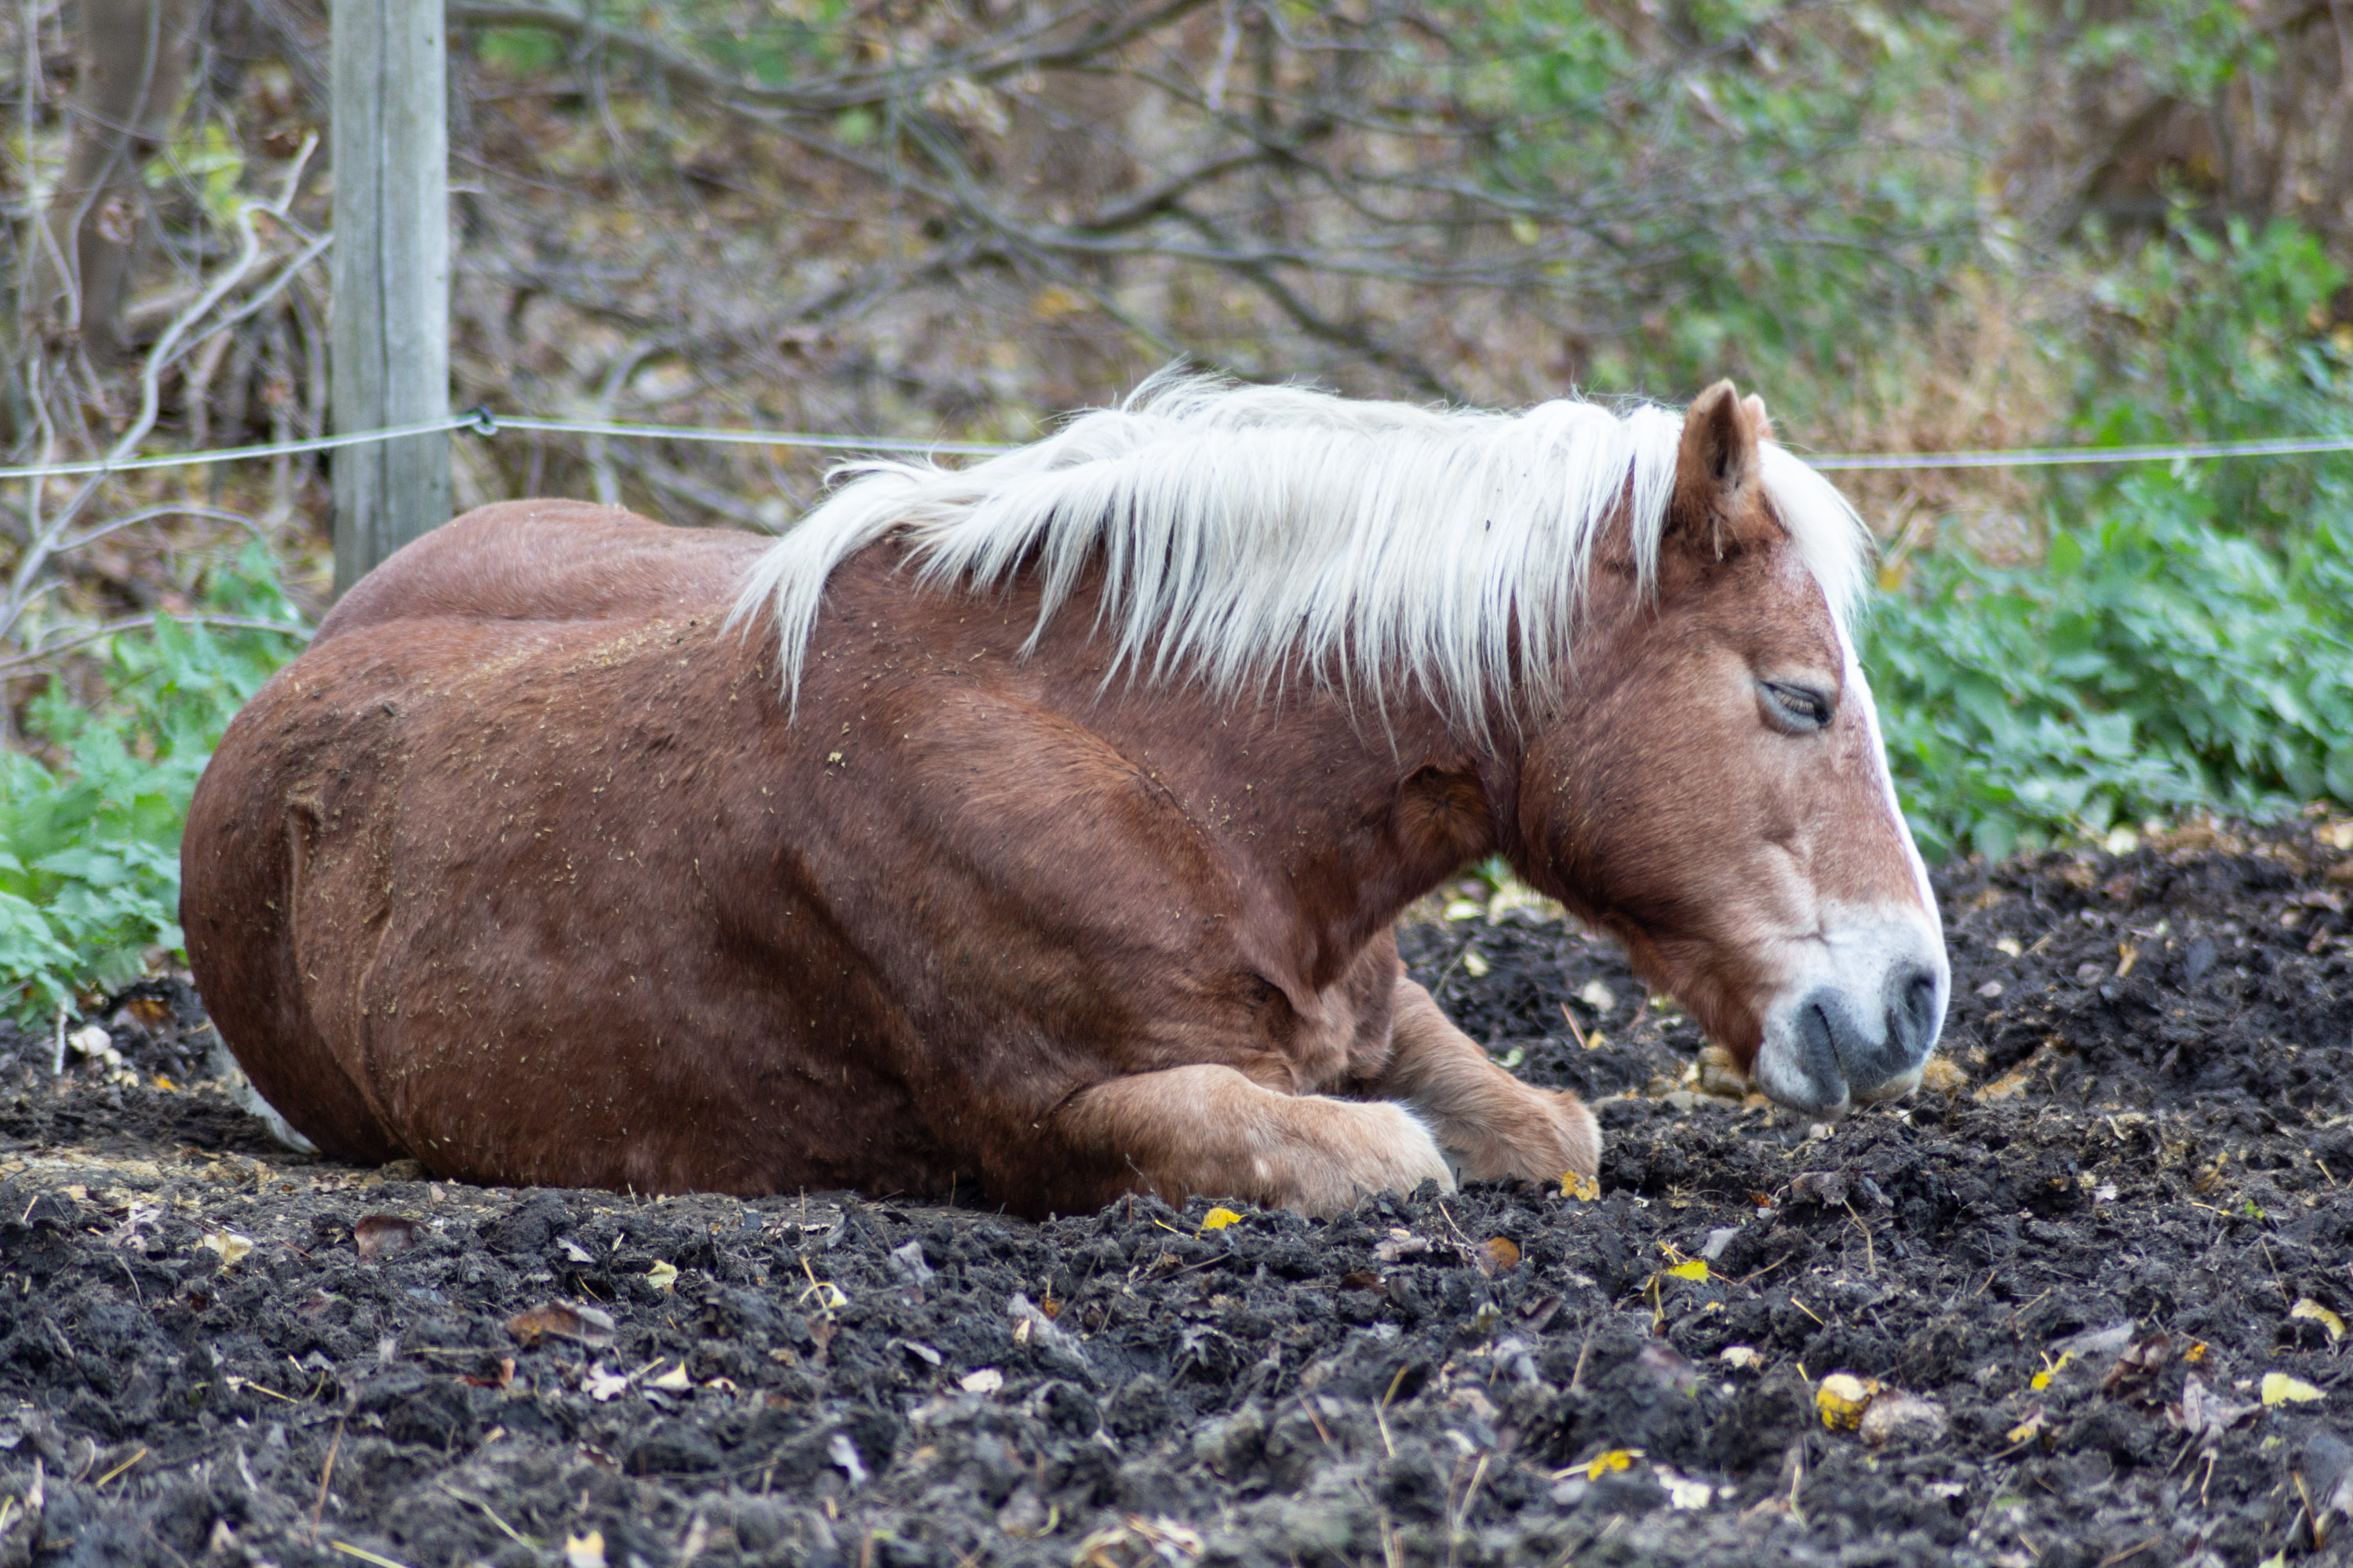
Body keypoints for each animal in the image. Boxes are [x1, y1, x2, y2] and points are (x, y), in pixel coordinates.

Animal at [183, 373, 1948, 1222]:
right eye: (1796, 696)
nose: (1911, 999)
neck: (1161, 770)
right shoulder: (1074, 1114)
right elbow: (1384, 1157)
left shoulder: (1372, 1026)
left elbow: (1544, 1125)